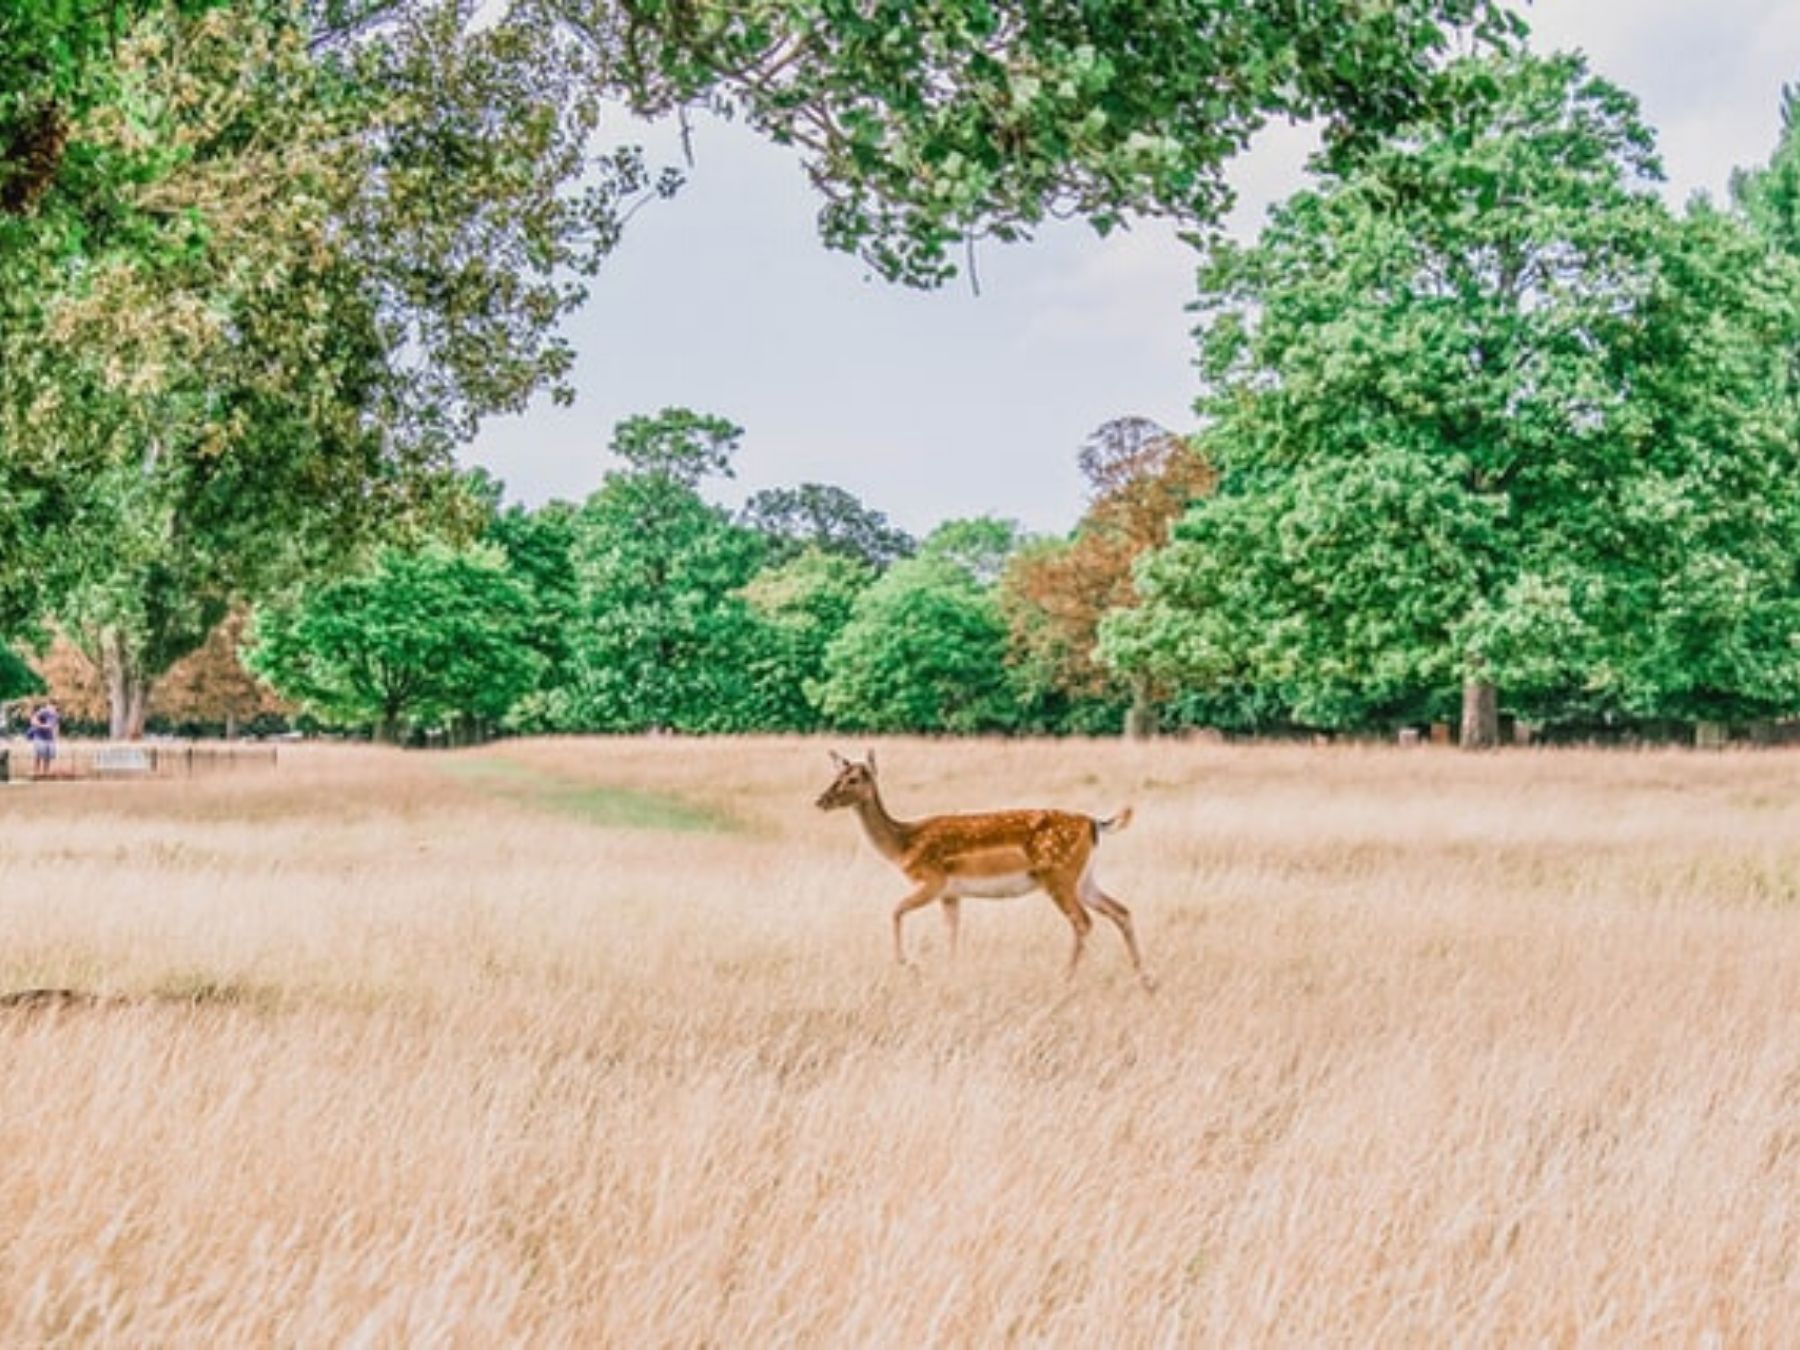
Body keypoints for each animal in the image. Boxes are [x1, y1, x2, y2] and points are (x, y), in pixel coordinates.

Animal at [817, 756, 1152, 986]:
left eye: (854, 778)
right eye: (836, 774)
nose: (821, 800)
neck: (903, 844)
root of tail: (1095, 824)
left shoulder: (932, 880)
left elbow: (896, 910)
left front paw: (906, 963)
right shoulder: (950, 893)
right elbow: (952, 932)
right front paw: (950, 970)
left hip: (1058, 875)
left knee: (1083, 921)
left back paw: (1065, 978)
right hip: (1084, 878)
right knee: (1121, 911)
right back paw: (1144, 979)